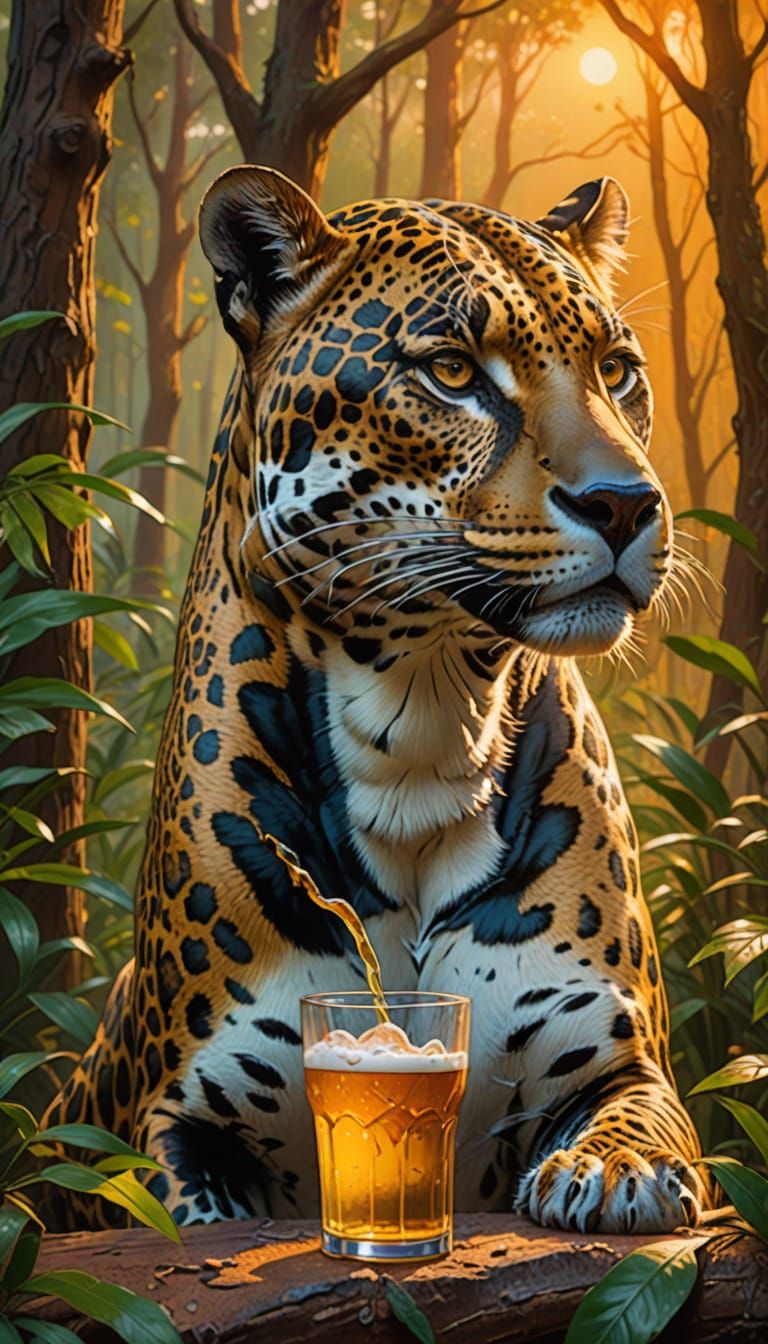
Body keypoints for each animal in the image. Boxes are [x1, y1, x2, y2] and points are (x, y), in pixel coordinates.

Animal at [48, 166, 706, 1236]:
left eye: (616, 371)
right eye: (451, 371)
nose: (627, 503)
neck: (424, 717)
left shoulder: (619, 1054)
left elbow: (644, 1119)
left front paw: (615, 1175)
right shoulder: (179, 1120)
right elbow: (187, 1210)